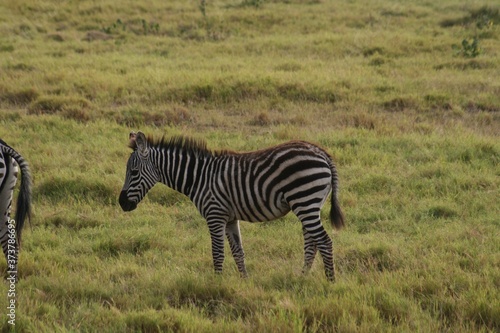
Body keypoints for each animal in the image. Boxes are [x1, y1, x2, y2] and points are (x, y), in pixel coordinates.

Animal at [120, 131, 344, 278]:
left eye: (133, 172)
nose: (122, 203)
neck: (199, 177)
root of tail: (322, 153)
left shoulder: (215, 215)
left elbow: (218, 252)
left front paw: (216, 284)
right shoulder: (229, 218)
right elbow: (238, 252)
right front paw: (245, 281)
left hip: (305, 200)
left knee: (324, 242)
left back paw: (330, 282)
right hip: (310, 204)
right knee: (312, 243)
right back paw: (302, 277)